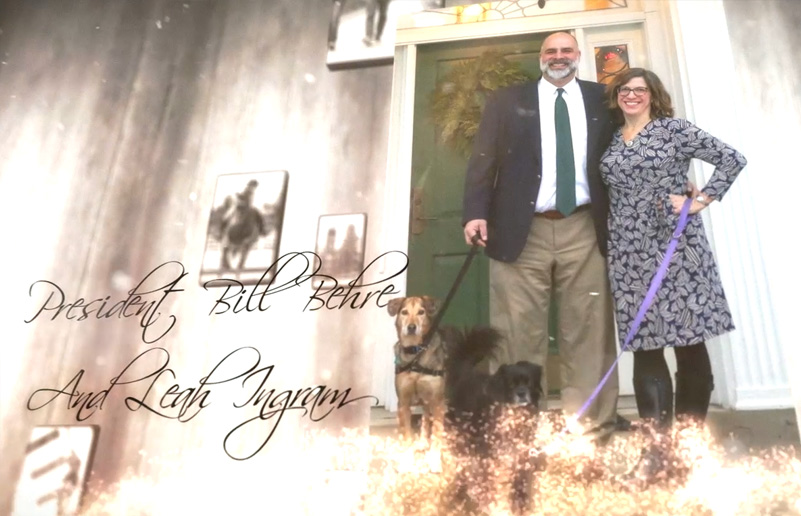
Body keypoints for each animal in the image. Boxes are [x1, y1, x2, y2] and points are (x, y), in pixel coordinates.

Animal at [390, 296, 446, 442]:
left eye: (421, 312)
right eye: (404, 312)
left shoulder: (437, 402)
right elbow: (407, 434)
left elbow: (437, 434)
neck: (415, 351)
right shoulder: (403, 402)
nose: (411, 327)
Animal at [440, 328, 548, 512]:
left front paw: (520, 503)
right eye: (511, 384)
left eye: (529, 383)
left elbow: (519, 480)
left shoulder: (521, 452)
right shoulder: (489, 453)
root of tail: (465, 375)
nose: (521, 393)